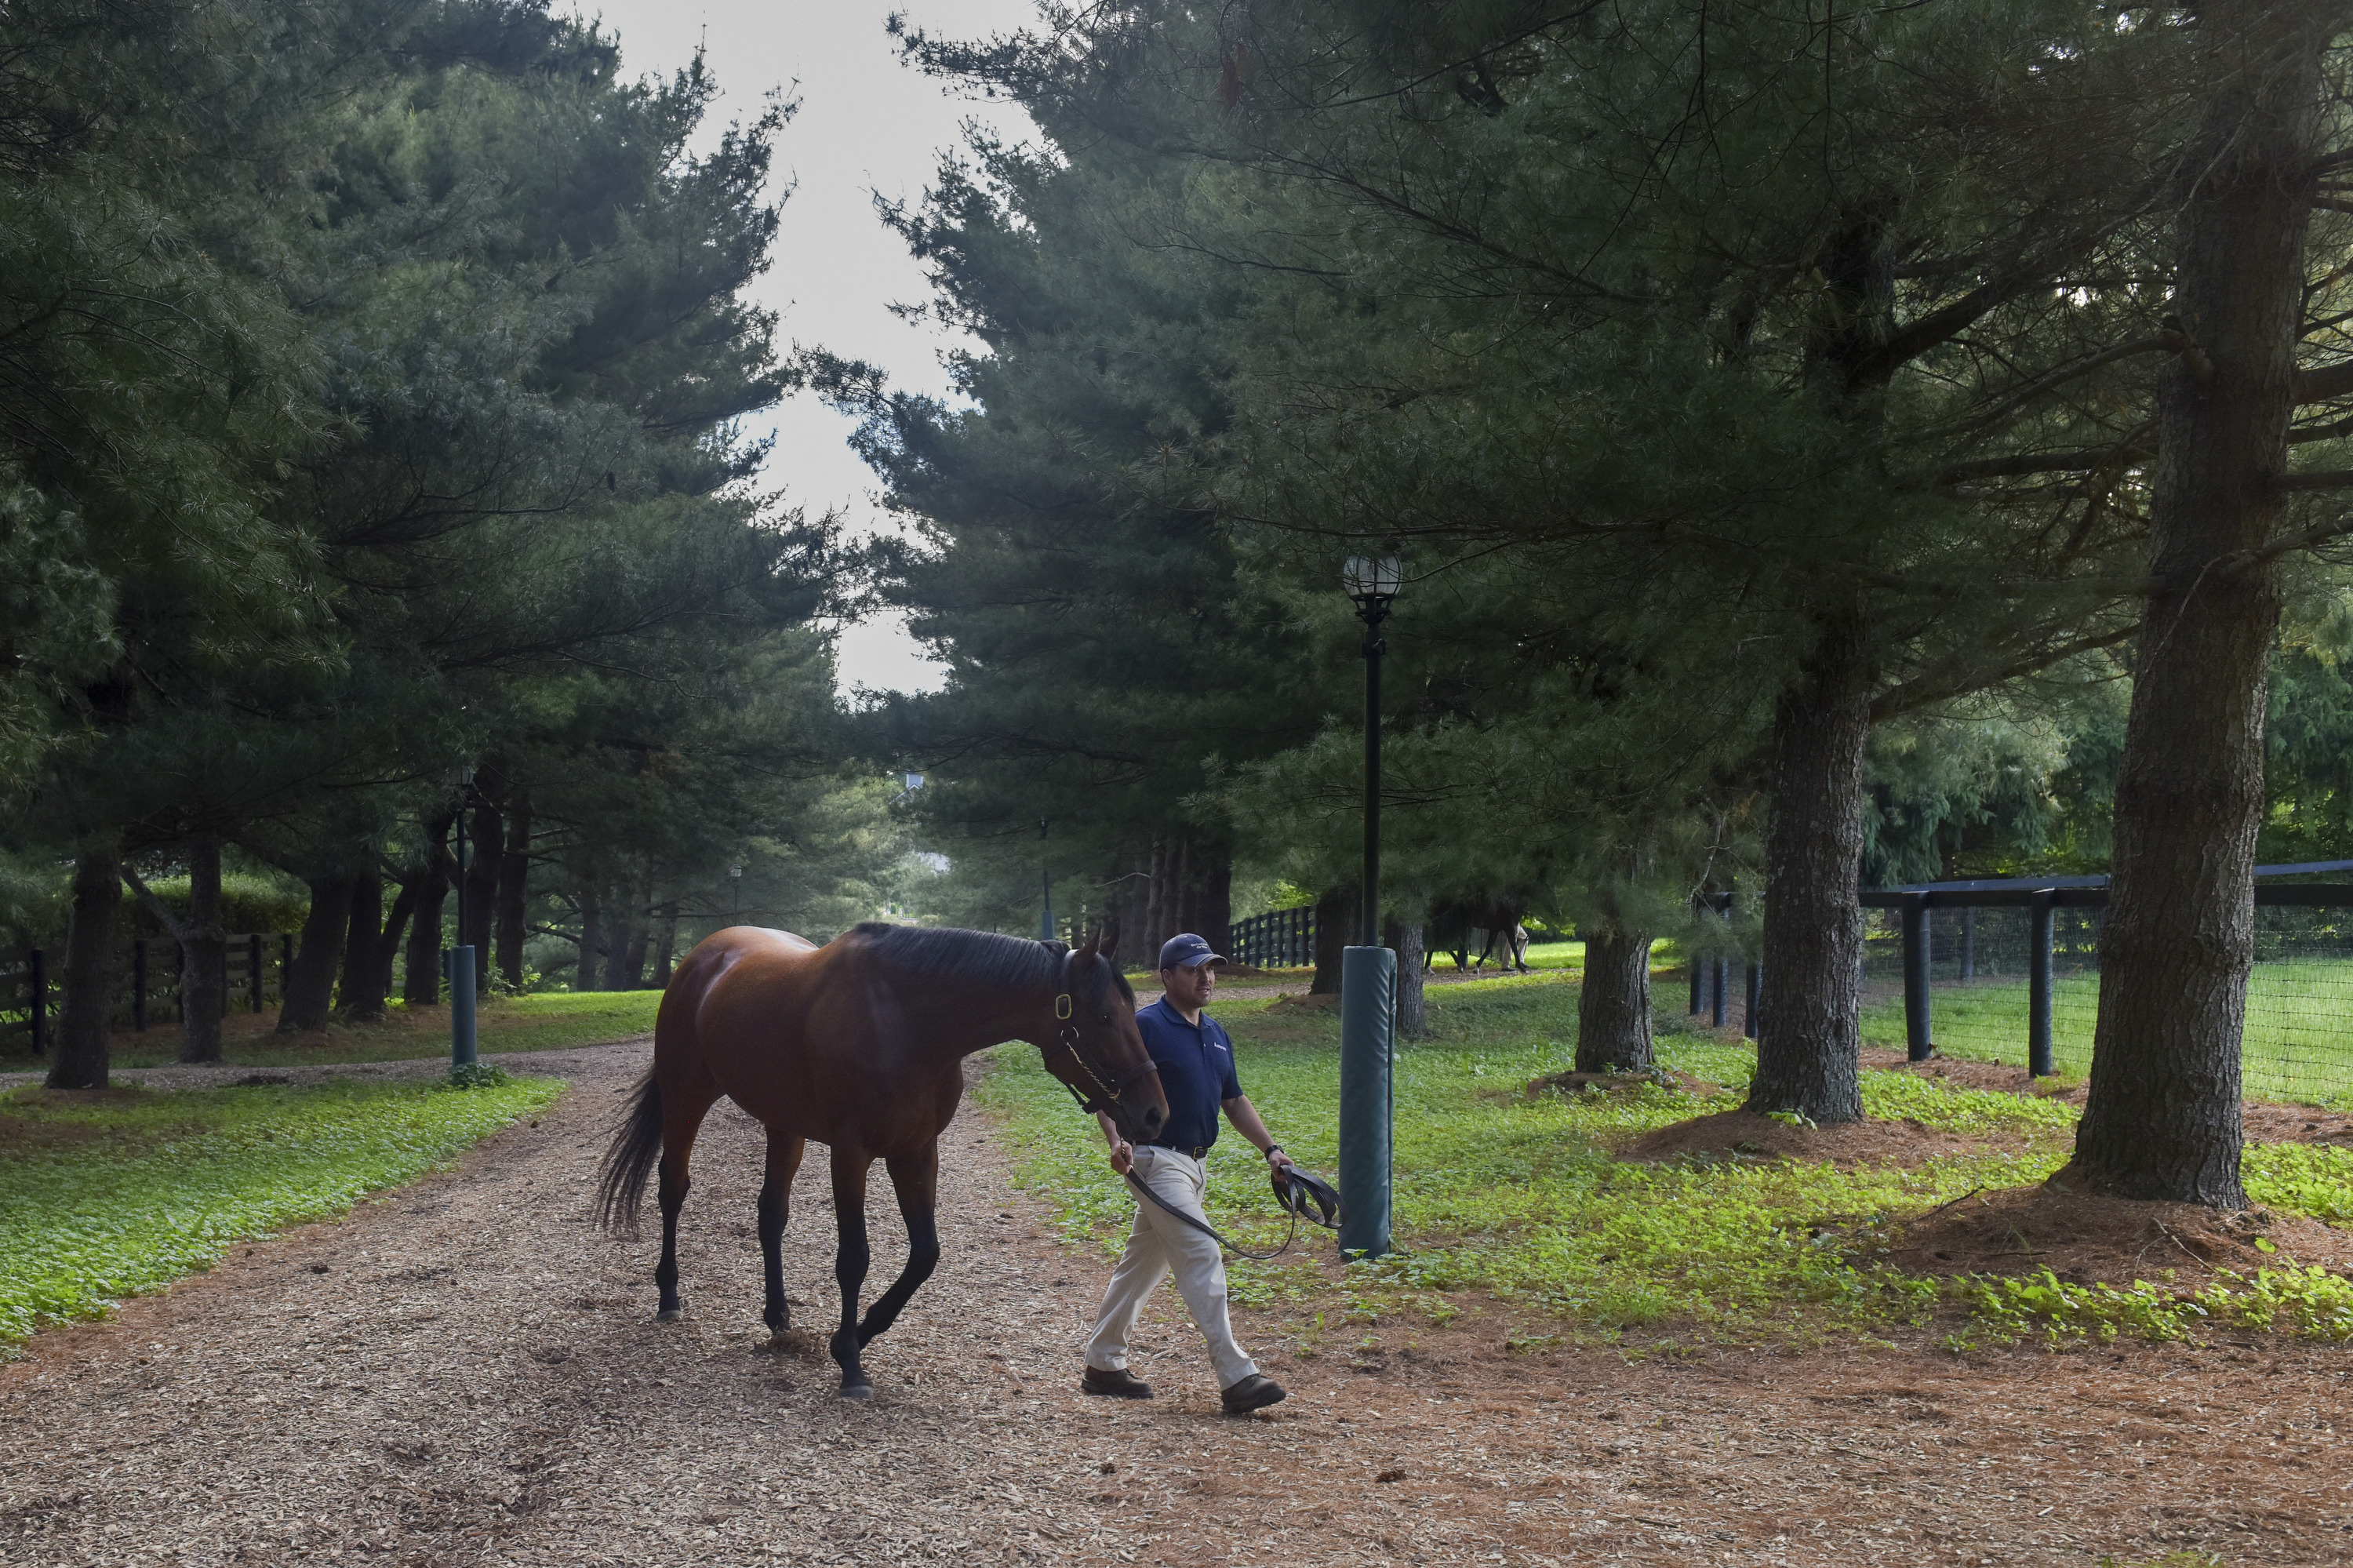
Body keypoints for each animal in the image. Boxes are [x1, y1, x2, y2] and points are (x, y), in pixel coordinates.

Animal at [594, 921, 1169, 1399]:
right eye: (1103, 1016)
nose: (1154, 1113)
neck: (907, 1019)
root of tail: (702, 956)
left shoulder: (915, 1151)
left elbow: (925, 1254)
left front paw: (857, 1333)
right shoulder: (852, 1153)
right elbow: (854, 1257)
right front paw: (850, 1362)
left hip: (784, 1125)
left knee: (771, 1213)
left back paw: (778, 1314)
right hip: (685, 1096)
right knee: (673, 1188)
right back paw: (668, 1295)